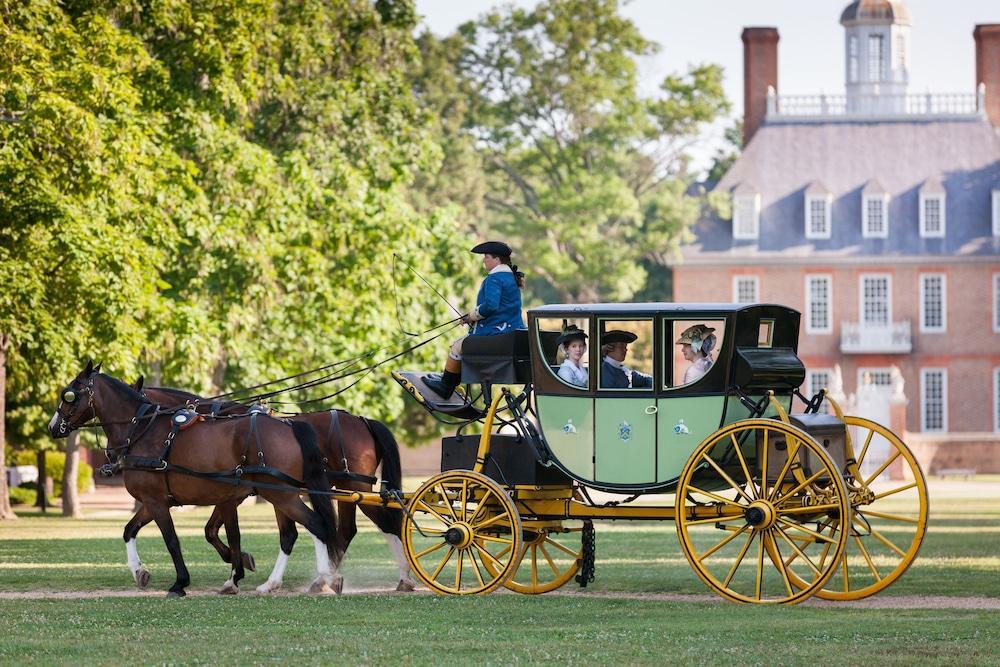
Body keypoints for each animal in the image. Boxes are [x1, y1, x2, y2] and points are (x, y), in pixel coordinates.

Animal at [48, 362, 346, 596]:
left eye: (69, 395)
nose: (52, 427)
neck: (143, 430)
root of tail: (289, 424)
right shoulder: (157, 500)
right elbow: (130, 530)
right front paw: (139, 572)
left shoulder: (159, 501)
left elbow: (174, 540)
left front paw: (182, 582)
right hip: (280, 494)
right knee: (297, 532)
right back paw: (285, 581)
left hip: (280, 493)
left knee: (316, 525)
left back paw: (323, 578)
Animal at [133, 380, 414, 596]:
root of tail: (362, 420)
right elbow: (214, 531)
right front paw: (240, 563)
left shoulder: (231, 495)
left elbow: (218, 532)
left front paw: (236, 570)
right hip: (344, 489)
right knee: (345, 530)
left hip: (351, 486)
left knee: (386, 523)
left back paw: (403, 576)